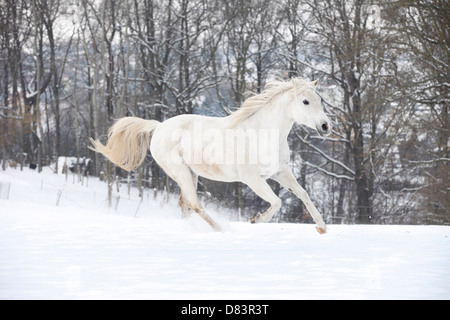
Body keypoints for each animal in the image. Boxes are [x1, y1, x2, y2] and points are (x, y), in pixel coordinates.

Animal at [90, 77, 330, 232]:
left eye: (320, 99)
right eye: (305, 101)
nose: (325, 126)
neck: (264, 133)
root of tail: (158, 127)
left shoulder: (281, 173)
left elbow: (304, 195)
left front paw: (322, 228)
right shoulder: (253, 179)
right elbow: (277, 202)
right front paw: (256, 219)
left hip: (190, 173)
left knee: (184, 203)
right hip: (180, 172)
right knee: (194, 203)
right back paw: (220, 229)